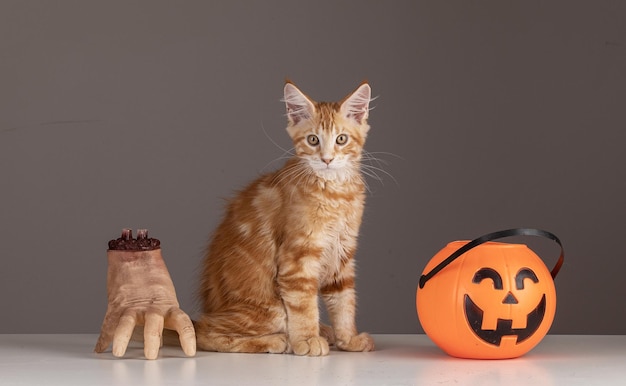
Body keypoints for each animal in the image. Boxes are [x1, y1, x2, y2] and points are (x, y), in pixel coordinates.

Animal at [195, 81, 372, 356]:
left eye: (341, 139)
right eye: (313, 140)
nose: (327, 159)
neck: (335, 193)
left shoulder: (342, 254)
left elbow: (344, 301)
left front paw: (348, 339)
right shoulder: (297, 258)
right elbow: (304, 306)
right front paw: (307, 340)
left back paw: (324, 332)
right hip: (271, 308)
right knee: (204, 332)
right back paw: (278, 340)